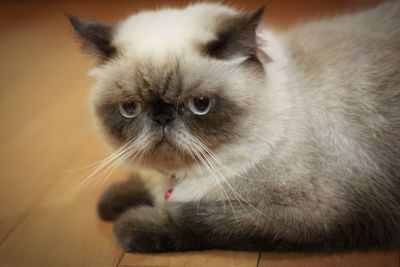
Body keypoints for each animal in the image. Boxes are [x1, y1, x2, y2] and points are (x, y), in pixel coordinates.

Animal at [69, 1, 400, 253]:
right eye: (130, 108)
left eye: (200, 104)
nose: (162, 117)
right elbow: (141, 187)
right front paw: (113, 201)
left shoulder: (308, 213)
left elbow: (198, 217)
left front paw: (132, 225)